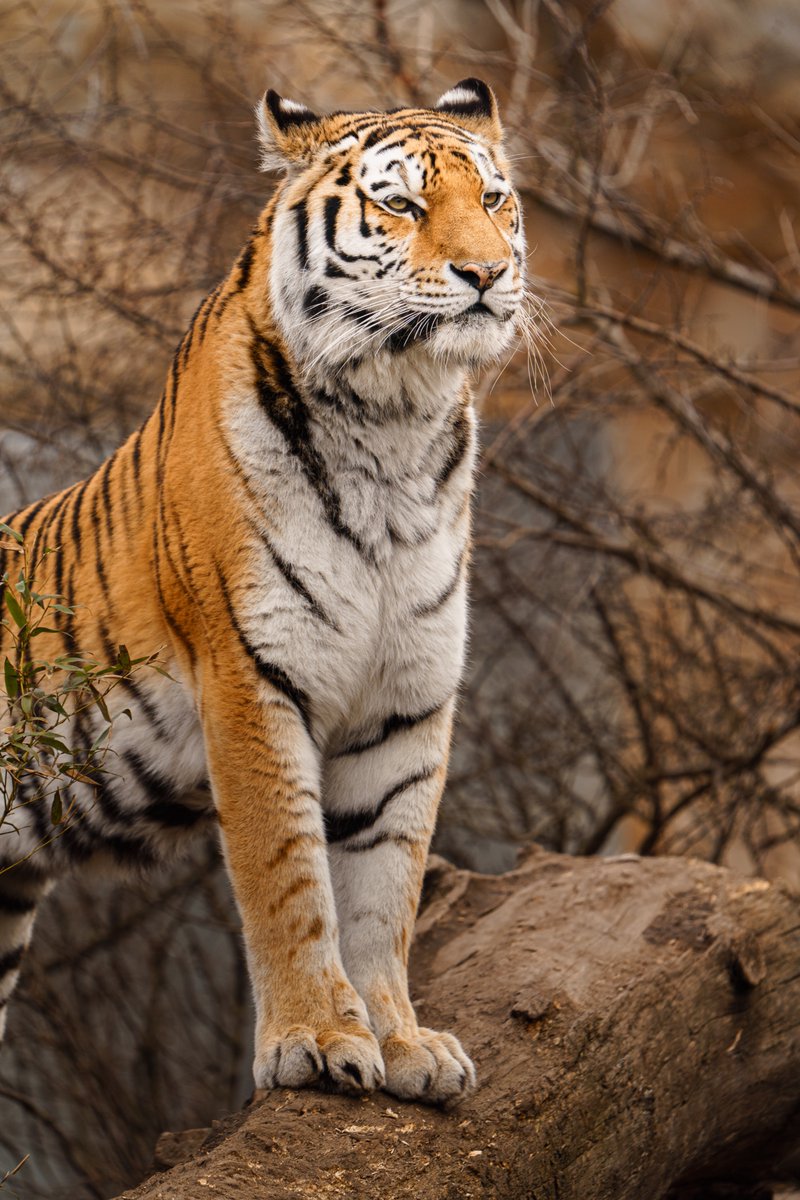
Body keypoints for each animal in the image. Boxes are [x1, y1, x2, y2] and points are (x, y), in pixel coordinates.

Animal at [0, 77, 525, 1103]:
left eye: (491, 199)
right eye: (403, 206)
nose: (486, 273)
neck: (397, 420)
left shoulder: (407, 698)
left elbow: (385, 887)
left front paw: (405, 1042)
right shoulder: (252, 675)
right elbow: (288, 876)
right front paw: (316, 1041)